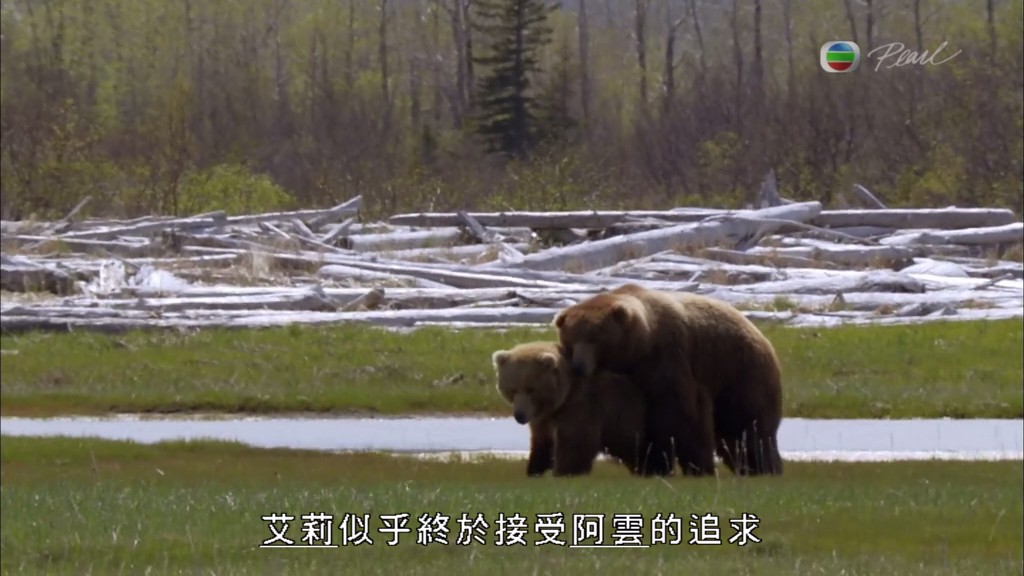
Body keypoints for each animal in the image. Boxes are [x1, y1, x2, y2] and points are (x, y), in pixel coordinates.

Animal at [491, 341, 656, 477]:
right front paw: (535, 469)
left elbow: (575, 442)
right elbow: (542, 442)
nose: (519, 415)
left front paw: (564, 472)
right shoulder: (543, 418)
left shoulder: (584, 406)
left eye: (530, 389)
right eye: (512, 390)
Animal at [552, 283, 784, 478]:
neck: (637, 349)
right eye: (571, 340)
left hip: (740, 372)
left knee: (748, 425)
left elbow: (677, 413)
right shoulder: (619, 379)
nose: (579, 367)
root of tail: (759, 333)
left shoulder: (667, 357)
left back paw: (764, 467)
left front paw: (672, 463)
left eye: (595, 339)